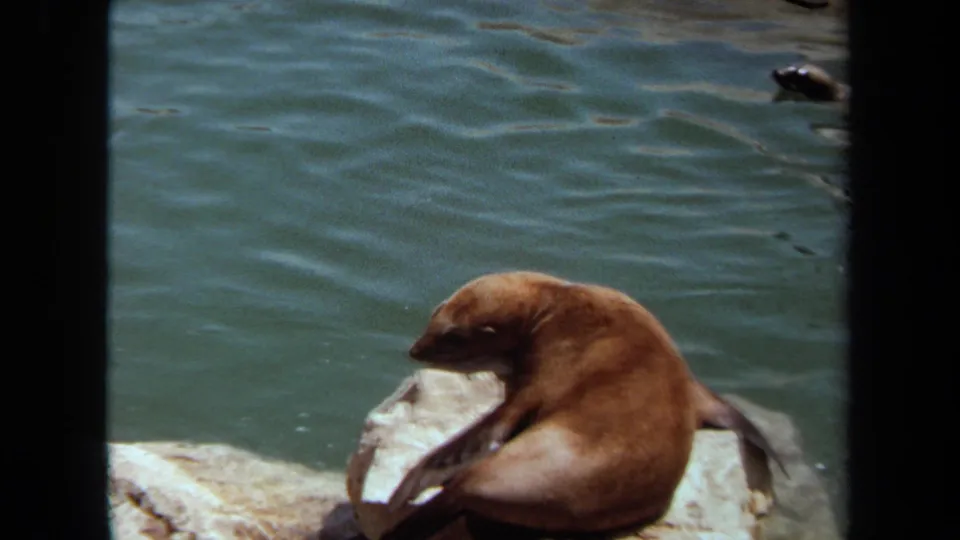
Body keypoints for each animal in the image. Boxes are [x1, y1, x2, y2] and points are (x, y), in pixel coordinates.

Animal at [381, 271, 786, 540]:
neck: (552, 303)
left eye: (452, 337)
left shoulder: (542, 377)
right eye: (433, 317)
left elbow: (497, 422)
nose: (415, 349)